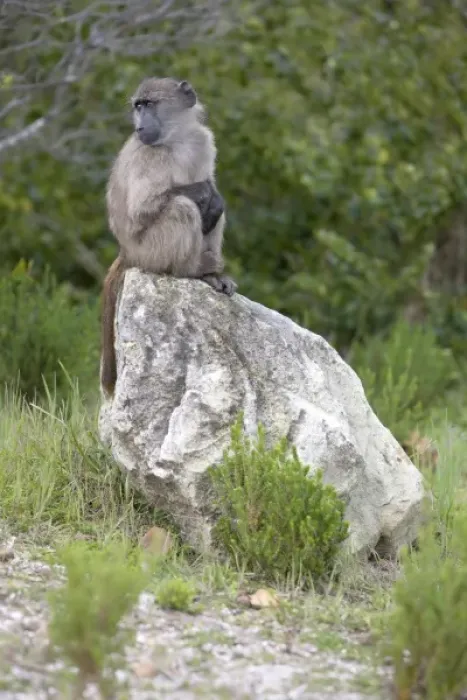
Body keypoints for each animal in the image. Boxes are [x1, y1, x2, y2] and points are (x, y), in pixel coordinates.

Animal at [100, 77, 237, 398]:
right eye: (138, 106)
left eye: (148, 104)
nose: (140, 126)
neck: (177, 138)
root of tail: (127, 253)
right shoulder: (150, 155)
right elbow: (143, 208)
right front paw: (205, 193)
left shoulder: (203, 141)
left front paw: (213, 197)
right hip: (150, 251)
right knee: (184, 207)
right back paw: (194, 271)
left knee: (214, 214)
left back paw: (213, 274)